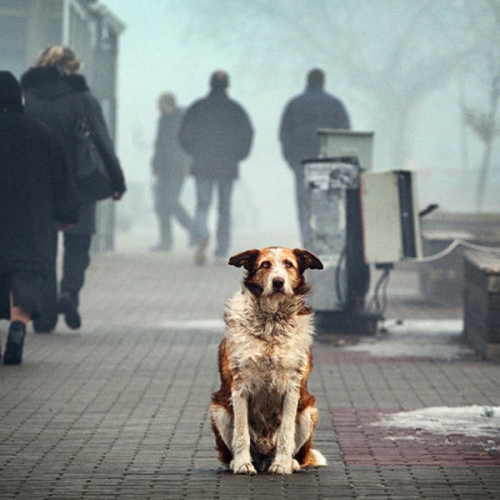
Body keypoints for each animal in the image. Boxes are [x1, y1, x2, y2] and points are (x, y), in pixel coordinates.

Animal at [209, 248, 326, 474]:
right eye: (265, 265)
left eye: (289, 264)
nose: (278, 282)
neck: (271, 323)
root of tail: (263, 458)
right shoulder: (240, 387)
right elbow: (241, 433)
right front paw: (243, 464)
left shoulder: (292, 389)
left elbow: (286, 433)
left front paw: (282, 465)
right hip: (219, 410)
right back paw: (238, 462)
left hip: (309, 411)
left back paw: (290, 462)